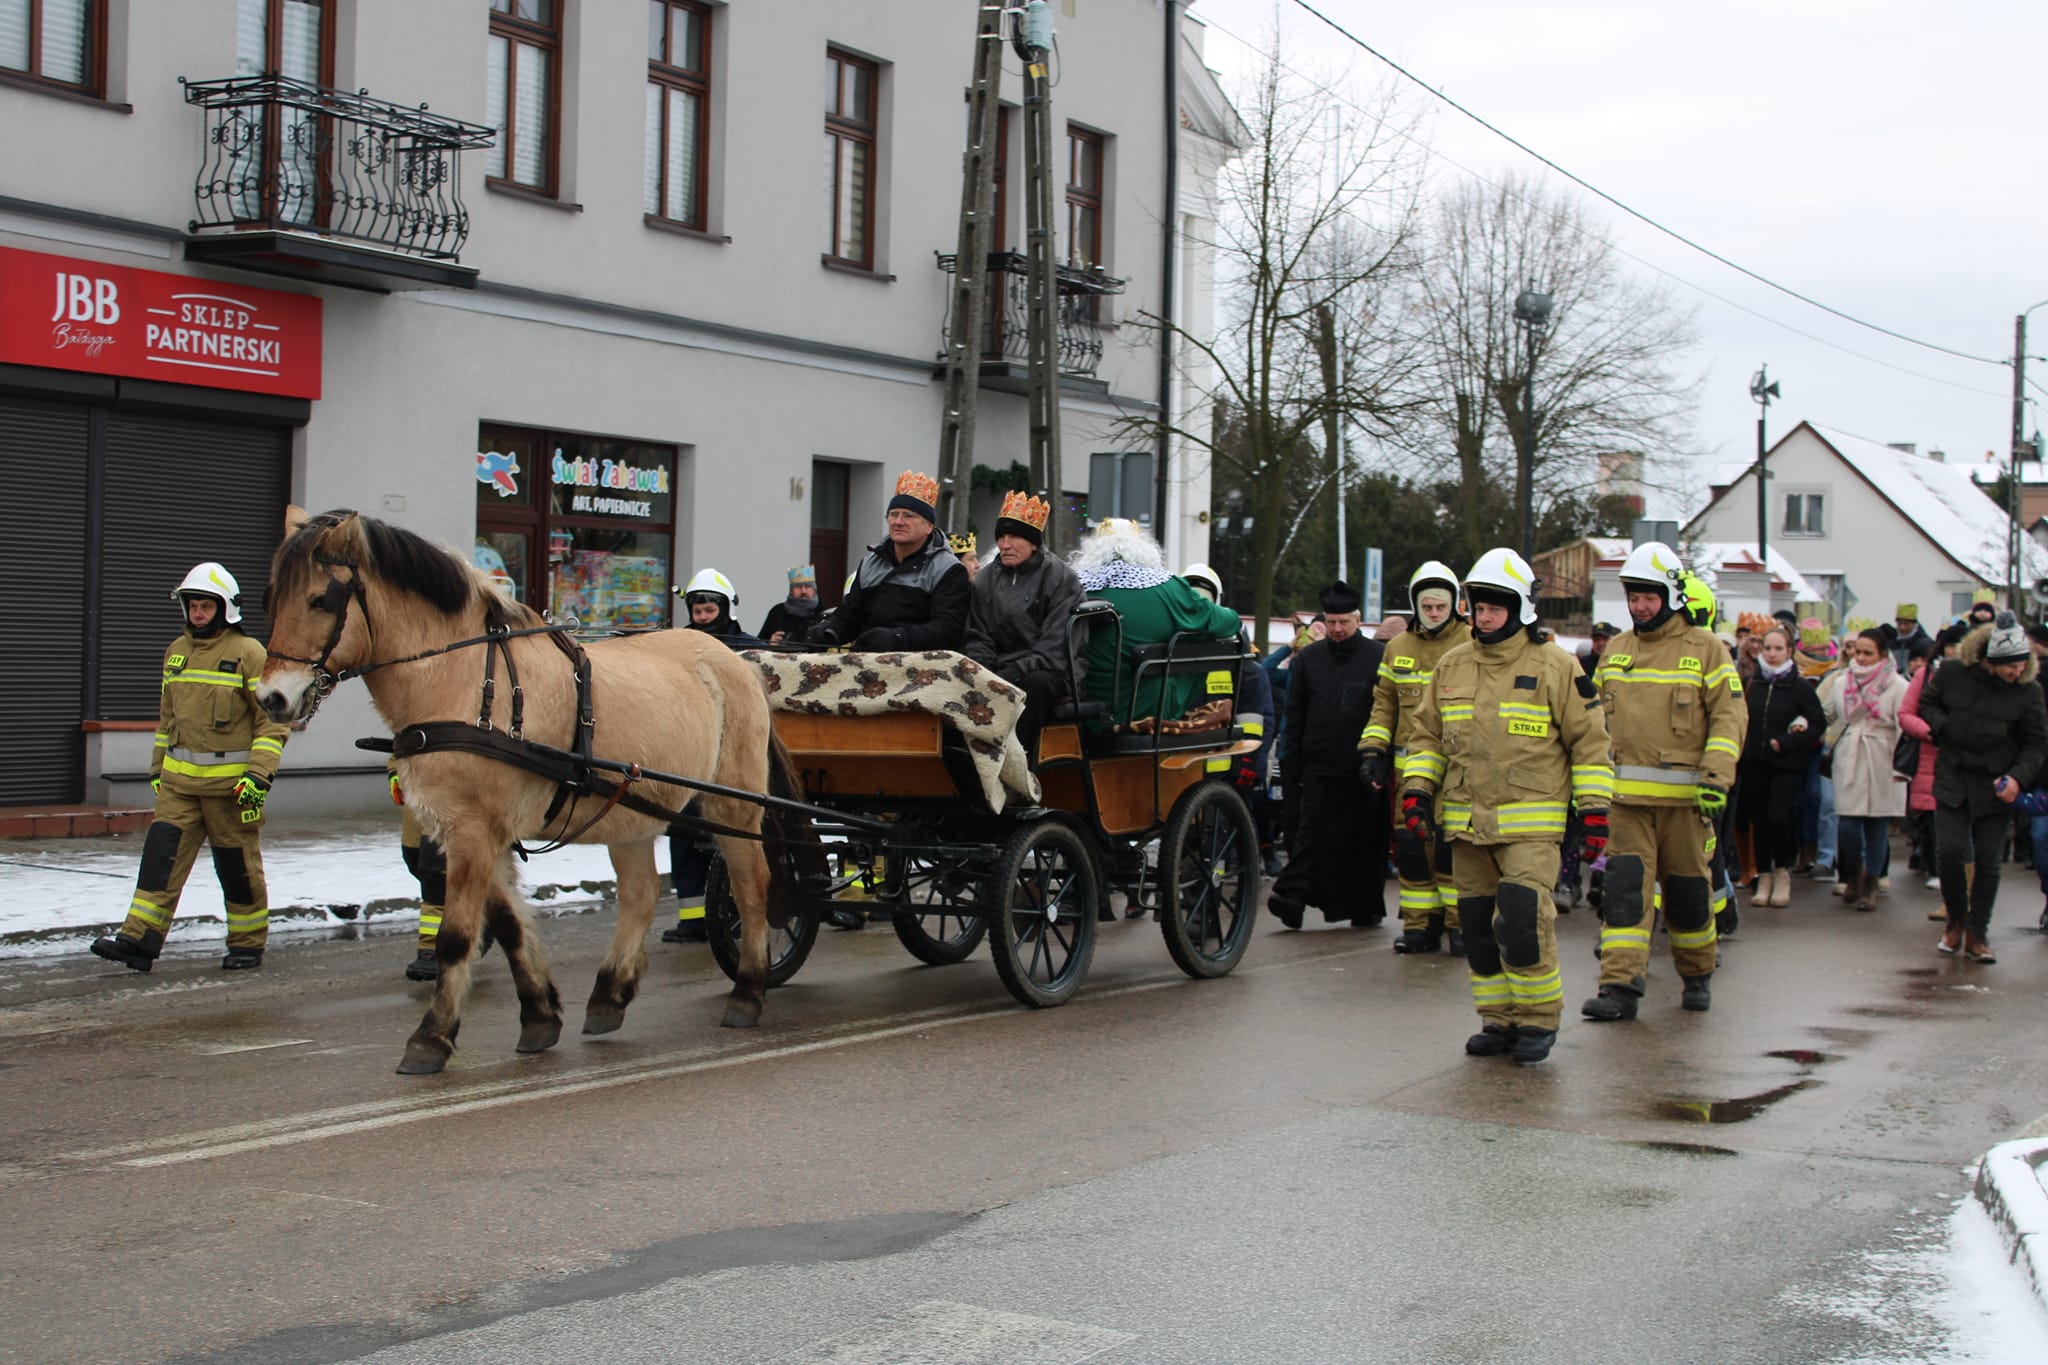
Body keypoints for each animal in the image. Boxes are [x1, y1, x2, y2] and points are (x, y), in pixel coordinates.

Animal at [260, 507, 819, 1072]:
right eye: (272, 598)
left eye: (320, 600)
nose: (271, 698)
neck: (466, 681)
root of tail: (733, 660)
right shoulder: (479, 832)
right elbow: (509, 926)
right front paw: (539, 1016)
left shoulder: (472, 830)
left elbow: (456, 937)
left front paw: (431, 1037)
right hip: (631, 808)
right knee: (640, 896)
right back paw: (609, 995)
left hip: (733, 802)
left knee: (752, 888)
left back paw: (747, 991)